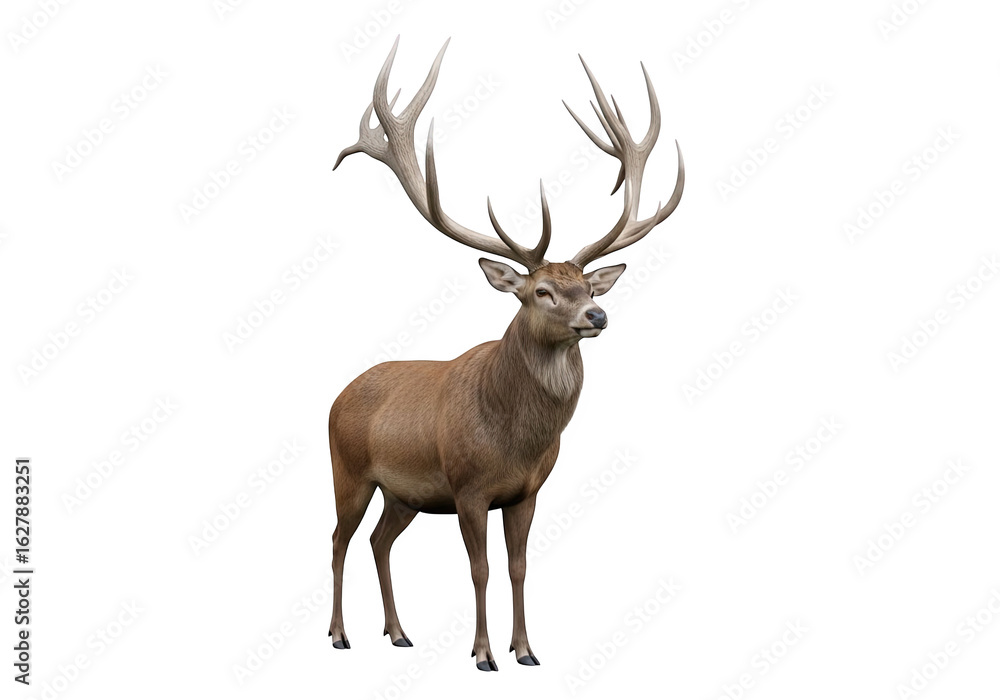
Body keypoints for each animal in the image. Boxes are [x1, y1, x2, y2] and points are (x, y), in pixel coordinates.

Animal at [328, 37, 683, 672]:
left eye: (588, 286)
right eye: (540, 291)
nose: (597, 316)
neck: (515, 440)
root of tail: (334, 398)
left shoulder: (527, 491)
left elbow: (518, 567)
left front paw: (526, 650)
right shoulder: (468, 487)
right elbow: (480, 569)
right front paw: (482, 653)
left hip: (403, 493)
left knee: (377, 541)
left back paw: (398, 632)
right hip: (348, 470)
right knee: (338, 541)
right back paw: (341, 634)